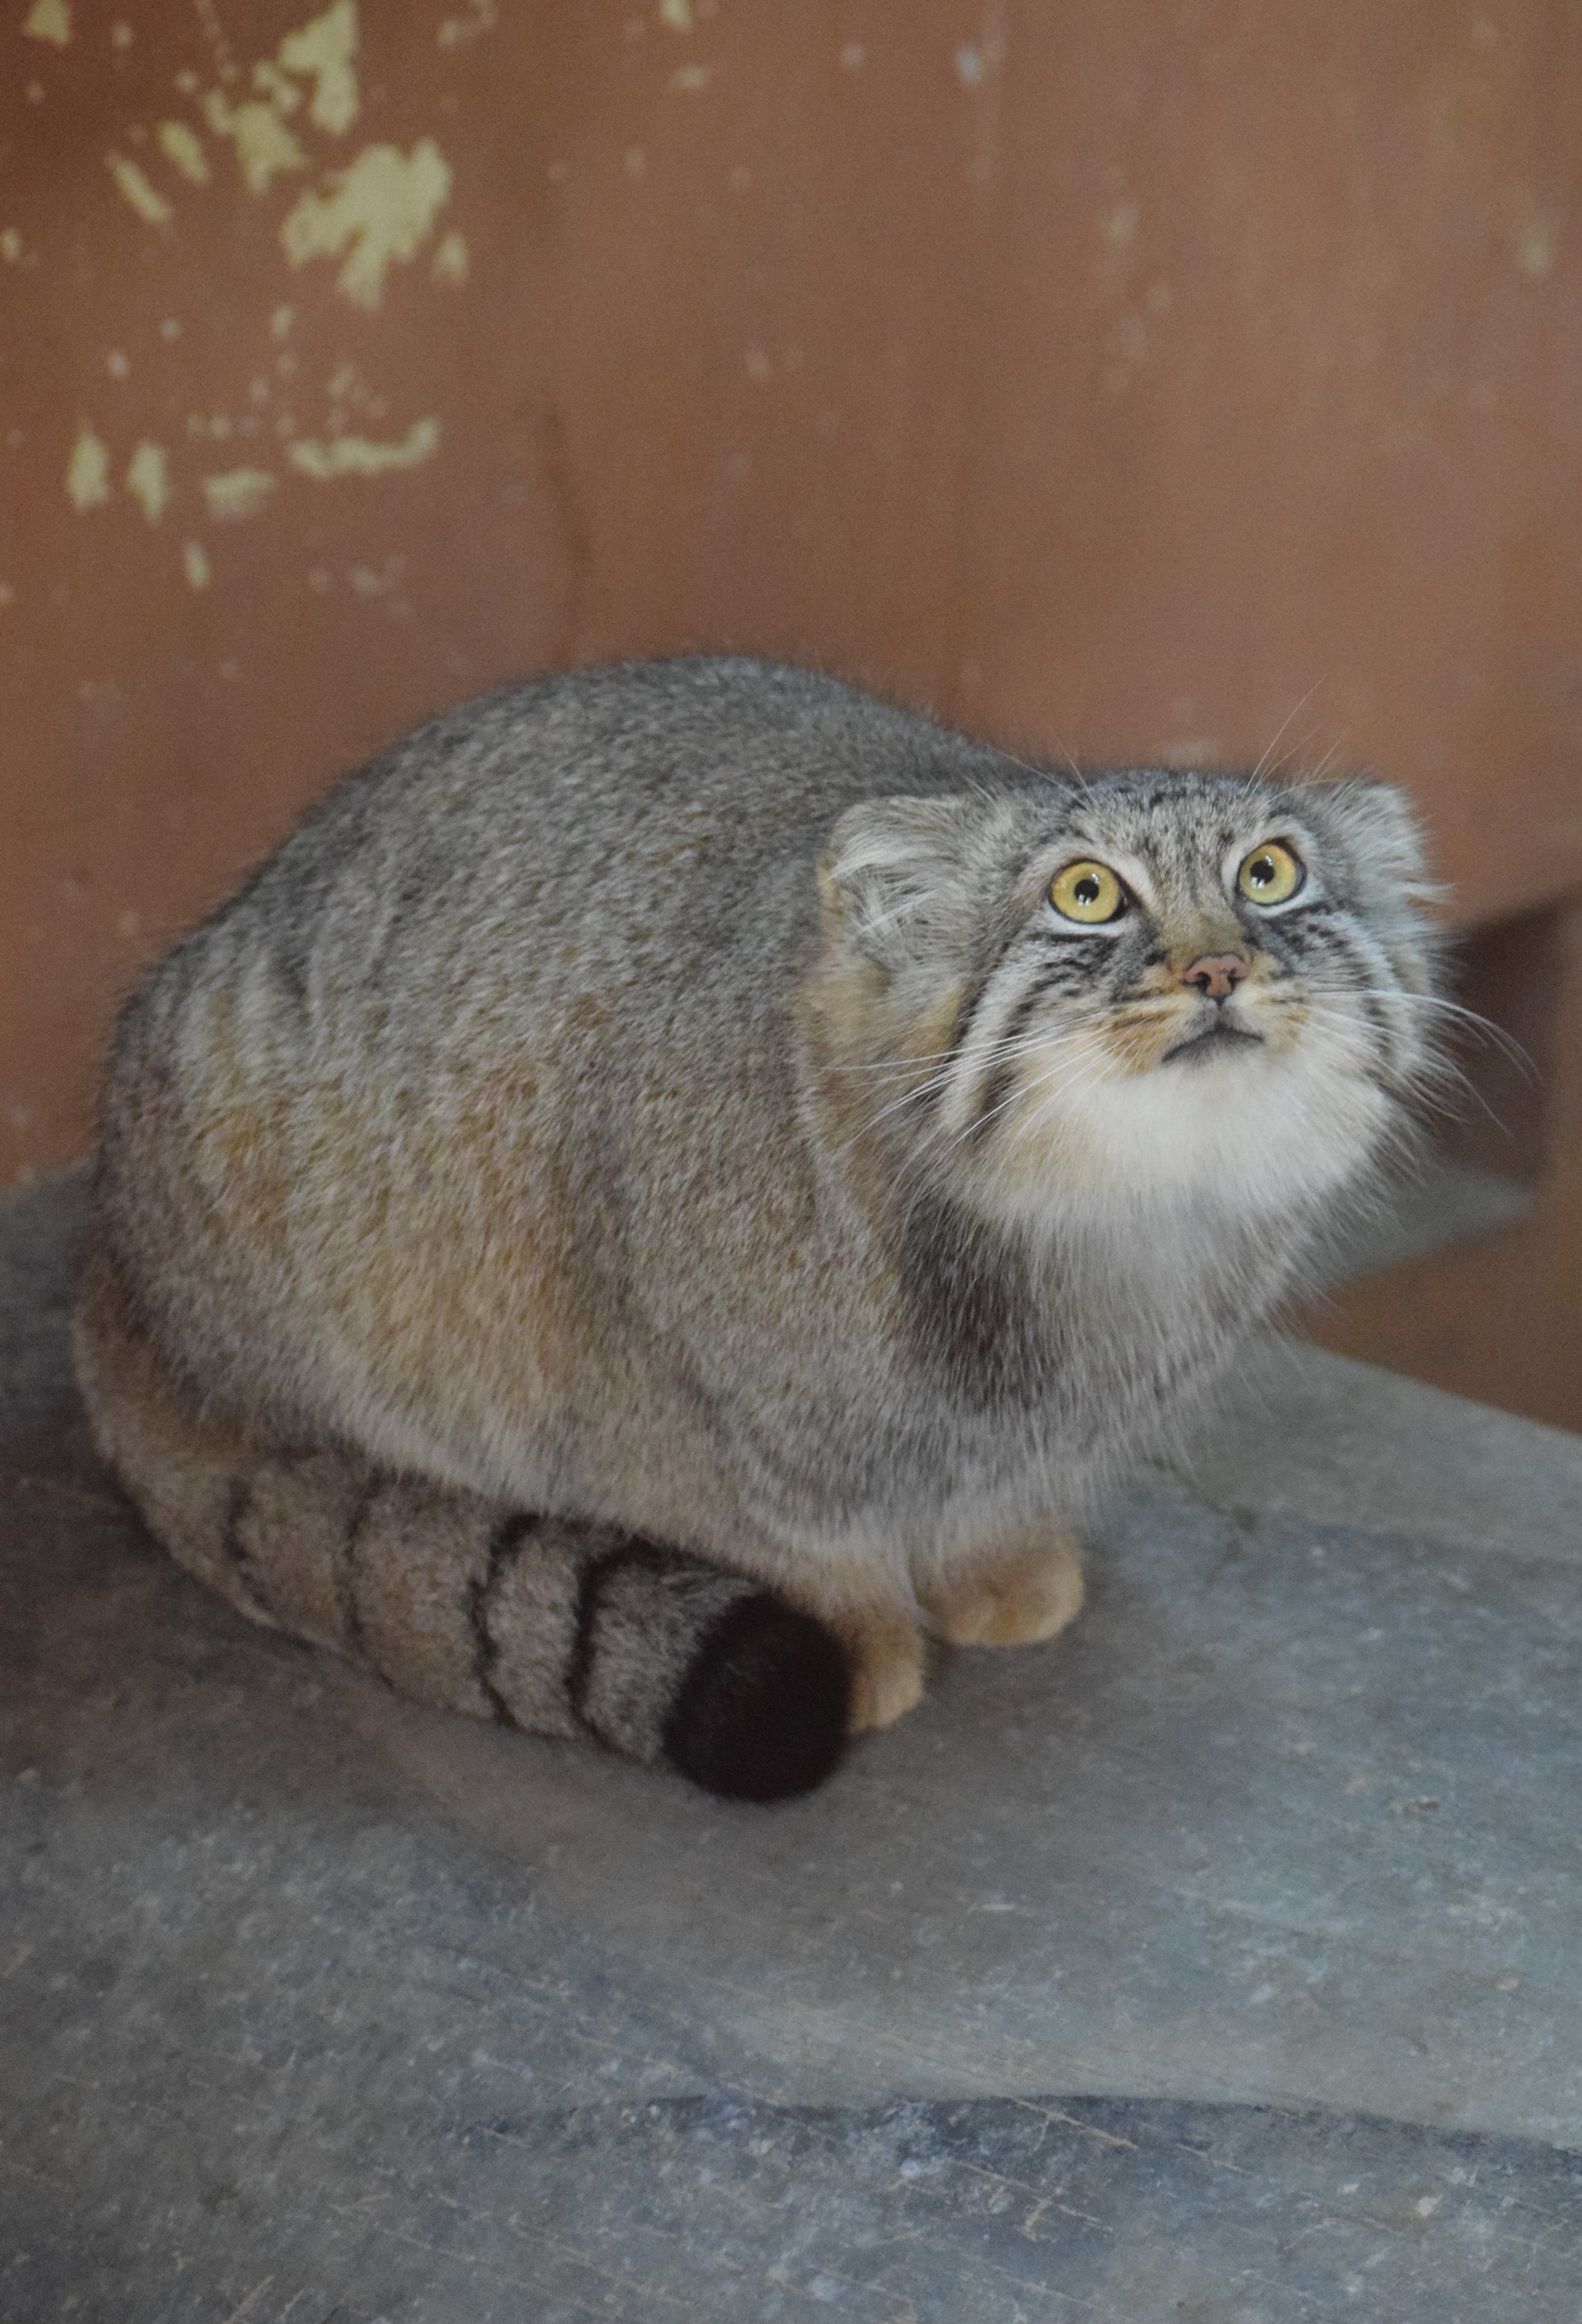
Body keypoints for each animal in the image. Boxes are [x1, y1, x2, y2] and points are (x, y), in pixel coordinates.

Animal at [74, 656, 1442, 1800]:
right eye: (1086, 893)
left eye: (1269, 873)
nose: (1215, 969)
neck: (1086, 1228)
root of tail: (115, 1265)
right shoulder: (639, 1388)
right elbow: (771, 1523)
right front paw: (859, 1628)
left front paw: (989, 1561)